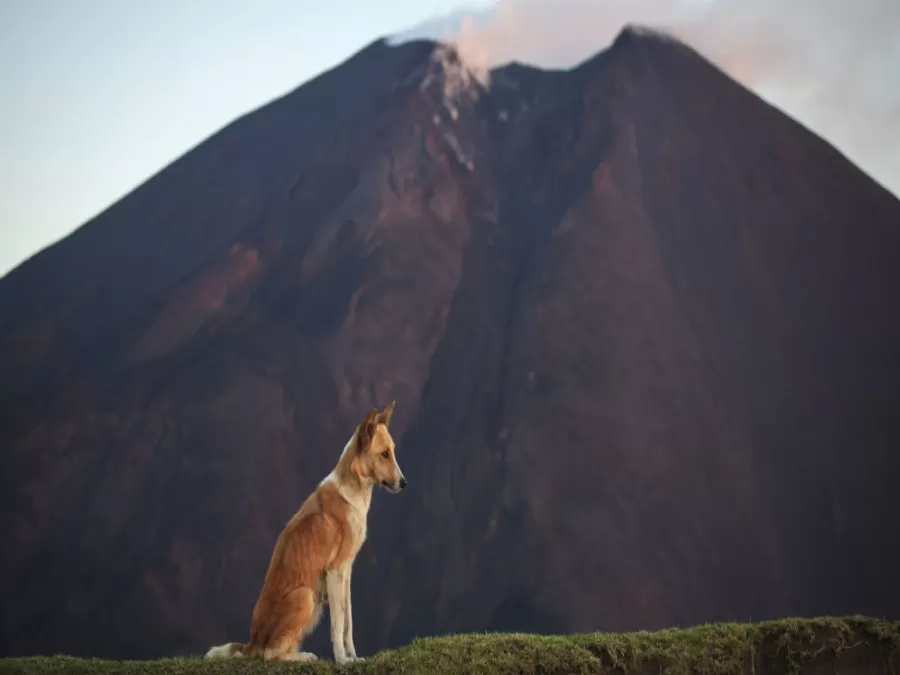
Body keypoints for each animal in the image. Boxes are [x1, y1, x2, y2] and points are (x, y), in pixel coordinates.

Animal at [206, 402, 406, 664]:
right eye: (384, 454)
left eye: (392, 452)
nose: (404, 483)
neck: (353, 489)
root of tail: (252, 642)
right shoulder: (334, 571)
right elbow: (338, 624)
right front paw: (342, 660)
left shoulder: (346, 571)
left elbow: (348, 622)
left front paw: (354, 657)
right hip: (306, 596)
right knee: (270, 653)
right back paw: (304, 656)